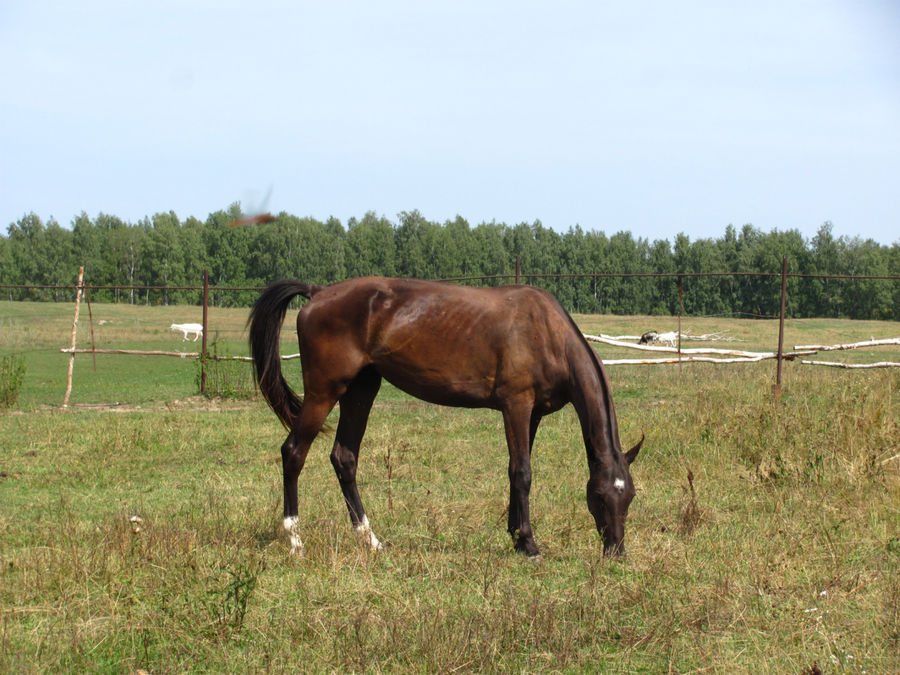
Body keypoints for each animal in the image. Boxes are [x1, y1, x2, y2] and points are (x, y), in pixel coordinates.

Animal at [248, 278, 640, 564]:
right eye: (599, 496)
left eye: (630, 497)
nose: (615, 552)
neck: (545, 331)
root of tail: (317, 293)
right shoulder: (516, 405)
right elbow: (522, 473)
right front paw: (529, 545)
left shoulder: (533, 414)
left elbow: (515, 472)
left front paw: (516, 536)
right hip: (324, 392)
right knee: (294, 453)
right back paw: (295, 539)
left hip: (361, 389)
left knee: (344, 458)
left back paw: (370, 539)